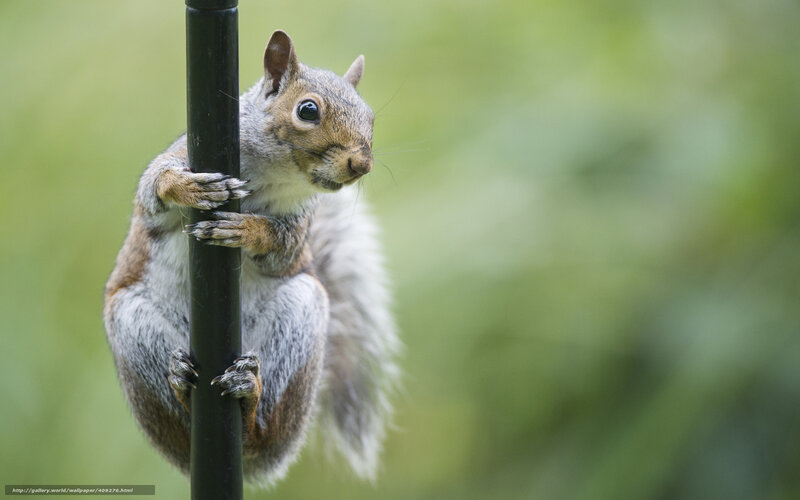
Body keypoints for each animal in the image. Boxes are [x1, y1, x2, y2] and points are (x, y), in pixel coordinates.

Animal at [103, 30, 399, 486]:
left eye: (370, 116)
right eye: (308, 110)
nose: (361, 164)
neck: (273, 174)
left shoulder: (298, 225)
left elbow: (281, 250)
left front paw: (247, 230)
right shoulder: (180, 158)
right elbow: (154, 190)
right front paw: (187, 188)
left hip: (300, 318)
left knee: (259, 428)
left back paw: (248, 398)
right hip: (133, 330)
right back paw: (181, 385)